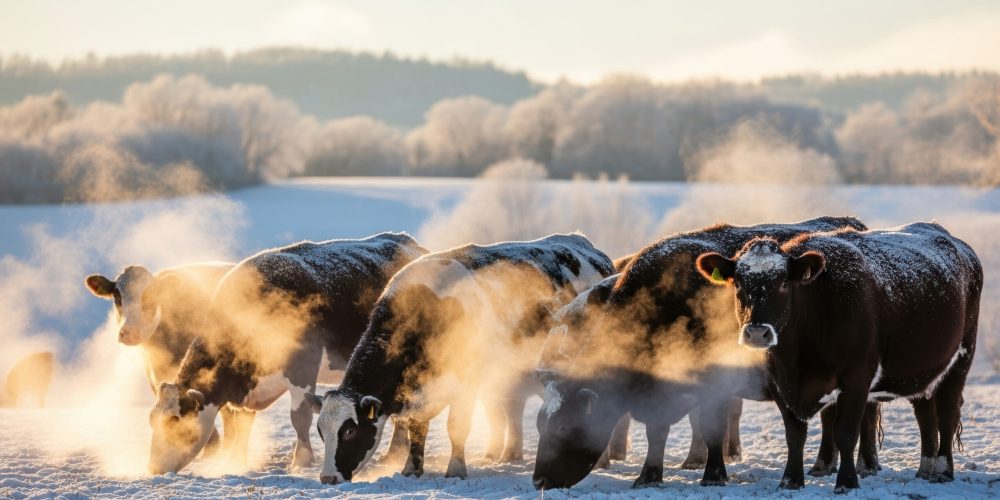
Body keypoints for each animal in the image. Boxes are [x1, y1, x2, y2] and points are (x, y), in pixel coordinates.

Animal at [145, 232, 427, 474]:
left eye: (174, 419)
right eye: (151, 420)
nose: (154, 469)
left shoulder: (302, 368)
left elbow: (299, 417)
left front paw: (301, 461)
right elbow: (243, 422)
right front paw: (235, 460)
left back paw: (393, 454)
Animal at [304, 233, 615, 485]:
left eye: (348, 431)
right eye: (320, 430)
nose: (327, 478)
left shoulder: (466, 383)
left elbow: (456, 428)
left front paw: (455, 470)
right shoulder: (420, 391)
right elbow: (417, 429)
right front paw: (411, 470)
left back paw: (602, 461)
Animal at [532, 216, 877, 490]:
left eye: (562, 427)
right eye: (539, 425)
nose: (538, 480)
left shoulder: (715, 384)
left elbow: (712, 430)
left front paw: (713, 474)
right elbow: (657, 432)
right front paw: (649, 475)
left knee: (864, 416)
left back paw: (864, 464)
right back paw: (825, 464)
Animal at [695, 221, 981, 492]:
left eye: (784, 283)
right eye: (738, 283)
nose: (757, 332)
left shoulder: (856, 377)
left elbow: (845, 433)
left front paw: (846, 482)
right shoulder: (779, 382)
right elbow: (794, 434)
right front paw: (790, 481)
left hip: (961, 358)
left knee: (947, 414)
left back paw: (943, 471)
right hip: (922, 368)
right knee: (925, 414)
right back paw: (925, 470)